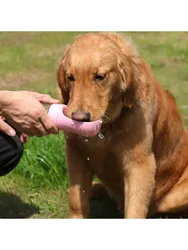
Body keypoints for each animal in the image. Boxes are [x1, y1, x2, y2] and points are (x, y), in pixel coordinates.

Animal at [56, 32, 188, 218]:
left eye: (99, 76)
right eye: (70, 77)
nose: (79, 118)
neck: (106, 126)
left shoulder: (140, 162)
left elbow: (135, 209)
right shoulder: (76, 154)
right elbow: (76, 199)